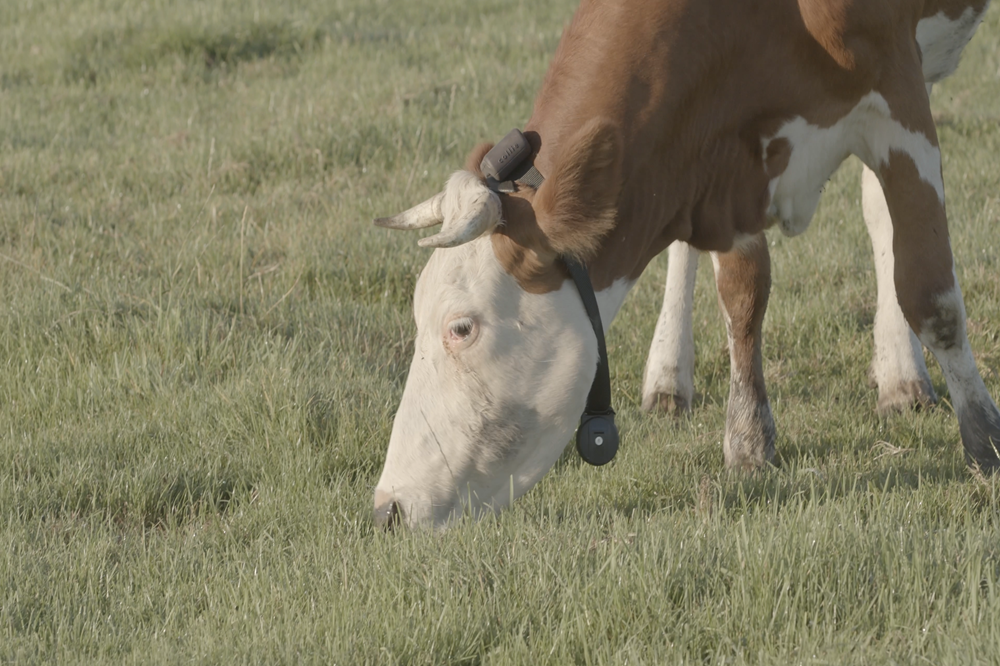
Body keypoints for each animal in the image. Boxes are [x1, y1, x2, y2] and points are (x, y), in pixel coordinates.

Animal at [374, 0, 992, 528]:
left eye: (462, 328)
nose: (388, 508)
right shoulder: (721, 159)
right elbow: (742, 292)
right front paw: (748, 440)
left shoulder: (897, 91)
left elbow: (931, 295)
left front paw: (984, 439)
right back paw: (670, 376)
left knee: (881, 216)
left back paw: (902, 375)